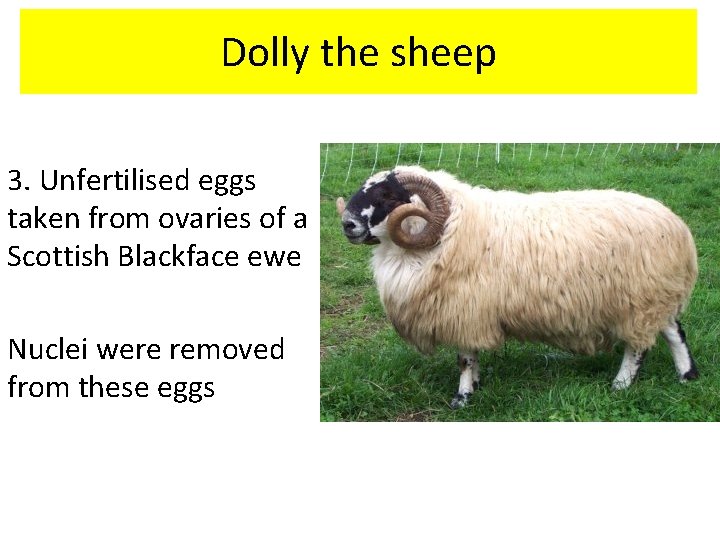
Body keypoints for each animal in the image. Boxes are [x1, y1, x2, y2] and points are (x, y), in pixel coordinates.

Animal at [336, 165, 699, 409]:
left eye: (387, 195)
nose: (347, 224)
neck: (448, 230)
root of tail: (677, 226)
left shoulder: (465, 310)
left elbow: (464, 358)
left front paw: (463, 397)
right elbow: (472, 359)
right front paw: (477, 384)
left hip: (639, 300)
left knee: (638, 347)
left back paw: (620, 385)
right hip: (656, 296)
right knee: (674, 331)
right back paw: (687, 376)